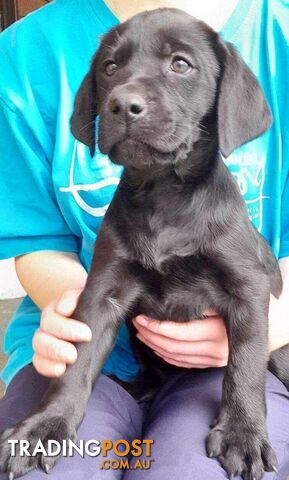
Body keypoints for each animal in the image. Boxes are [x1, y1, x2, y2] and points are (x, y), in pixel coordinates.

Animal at [1, 7, 286, 480]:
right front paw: (46, 425)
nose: (123, 105)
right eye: (110, 68)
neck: (165, 194)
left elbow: (245, 364)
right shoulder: (104, 289)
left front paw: (243, 434)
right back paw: (137, 386)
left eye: (180, 64)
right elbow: (77, 359)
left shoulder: (248, 286)